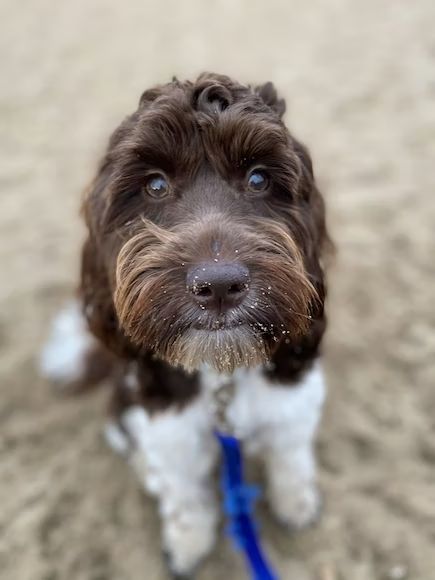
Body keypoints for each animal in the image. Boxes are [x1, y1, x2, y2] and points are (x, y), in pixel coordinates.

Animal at [42, 75, 332, 576]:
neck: (222, 376)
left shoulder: (293, 402)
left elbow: (291, 457)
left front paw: (295, 503)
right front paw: (188, 541)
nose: (218, 285)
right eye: (155, 185)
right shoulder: (168, 426)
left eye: (259, 178)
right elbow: (182, 495)